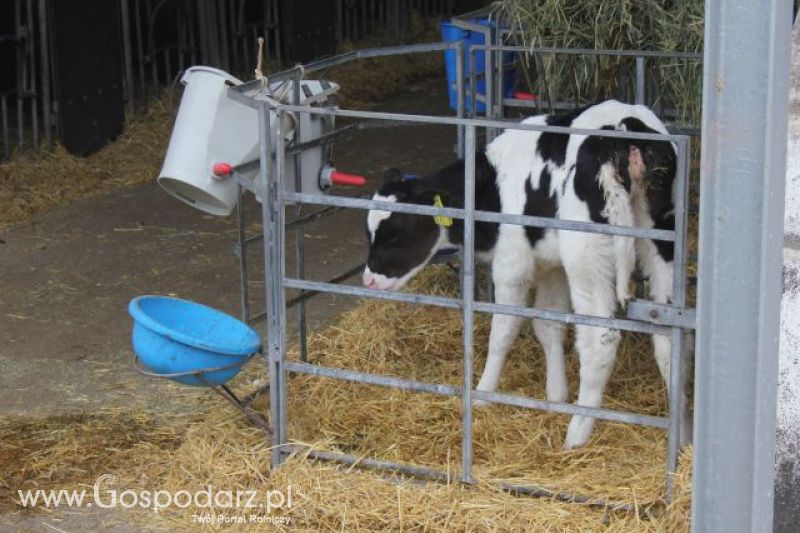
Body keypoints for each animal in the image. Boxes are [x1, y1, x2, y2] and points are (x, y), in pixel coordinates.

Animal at [362, 101, 688, 448]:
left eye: (394, 235)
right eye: (369, 234)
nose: (368, 279)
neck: (493, 187)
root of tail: (624, 128)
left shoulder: (511, 265)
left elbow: (502, 332)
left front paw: (483, 394)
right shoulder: (551, 266)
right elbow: (547, 325)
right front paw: (555, 396)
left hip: (587, 256)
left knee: (600, 340)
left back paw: (577, 433)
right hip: (659, 239)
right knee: (669, 337)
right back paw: (680, 437)